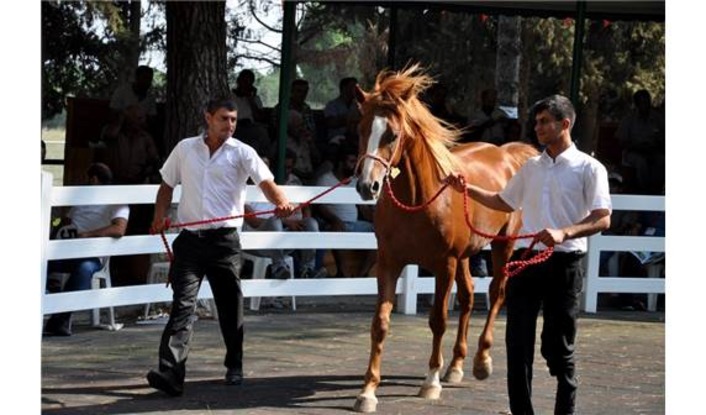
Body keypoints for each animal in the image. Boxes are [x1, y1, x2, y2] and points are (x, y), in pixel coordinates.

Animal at [352, 65, 540, 412]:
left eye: (392, 134)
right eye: (361, 129)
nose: (366, 186)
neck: (417, 200)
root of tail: (508, 154)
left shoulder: (444, 264)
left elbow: (438, 320)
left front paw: (430, 382)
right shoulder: (389, 262)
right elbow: (380, 323)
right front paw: (368, 391)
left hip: (502, 245)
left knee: (496, 293)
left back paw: (481, 361)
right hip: (467, 255)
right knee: (467, 297)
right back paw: (455, 366)